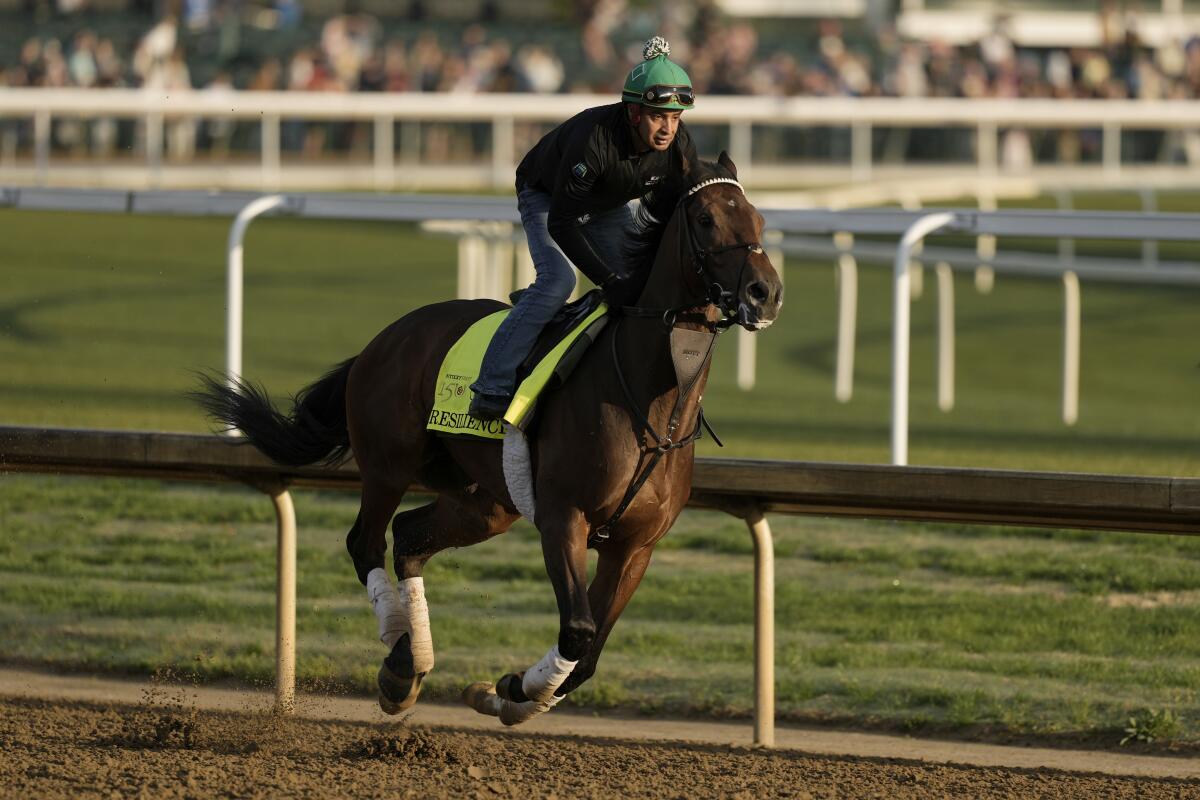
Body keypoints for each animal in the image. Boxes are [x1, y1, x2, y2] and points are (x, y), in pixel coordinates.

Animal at [192, 151, 782, 724]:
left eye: (758, 219)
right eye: (705, 219)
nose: (766, 292)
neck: (652, 406)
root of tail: (384, 339)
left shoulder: (636, 546)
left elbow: (589, 656)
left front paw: (515, 694)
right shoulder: (563, 517)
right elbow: (578, 631)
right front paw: (516, 689)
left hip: (487, 502)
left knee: (408, 536)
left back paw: (410, 664)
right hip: (388, 465)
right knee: (366, 541)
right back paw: (398, 657)